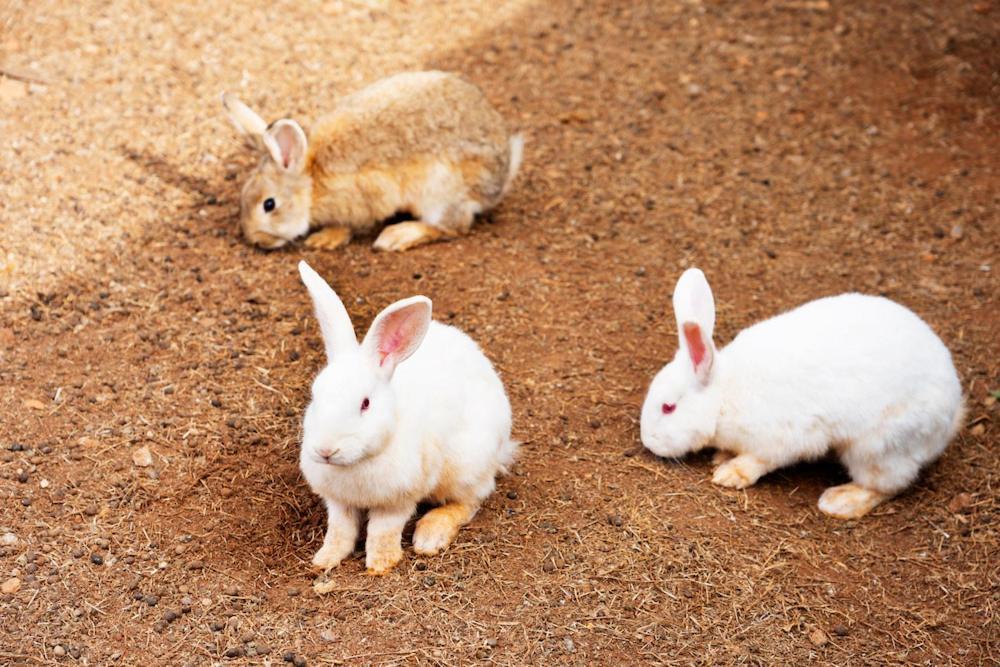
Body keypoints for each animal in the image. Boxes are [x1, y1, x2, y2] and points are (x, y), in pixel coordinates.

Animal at [222, 70, 524, 252]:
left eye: (269, 205)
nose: (256, 240)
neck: (312, 182)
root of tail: (502, 175)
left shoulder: (364, 199)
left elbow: (348, 224)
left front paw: (324, 239)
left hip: (442, 193)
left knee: (452, 227)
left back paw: (396, 236)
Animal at [294, 260, 516, 576]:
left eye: (365, 404)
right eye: (314, 396)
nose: (325, 450)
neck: (359, 462)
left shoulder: (398, 502)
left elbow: (382, 531)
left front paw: (380, 564)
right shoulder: (338, 503)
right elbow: (340, 530)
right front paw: (324, 559)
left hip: (467, 465)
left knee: (470, 500)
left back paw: (430, 535)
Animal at [636, 268, 964, 520]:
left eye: (668, 407)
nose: (648, 442)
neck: (723, 398)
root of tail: (950, 417)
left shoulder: (782, 439)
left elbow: (759, 461)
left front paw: (730, 474)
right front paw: (721, 457)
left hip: (878, 448)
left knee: (888, 485)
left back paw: (840, 501)